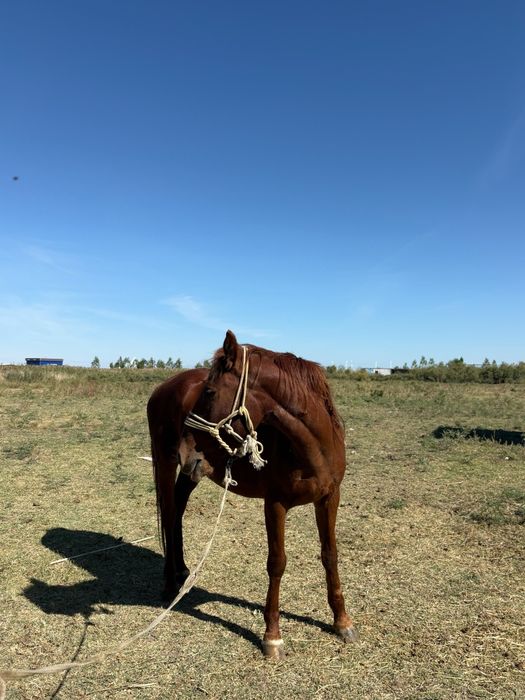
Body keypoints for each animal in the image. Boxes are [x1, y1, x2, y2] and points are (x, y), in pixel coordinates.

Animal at [147, 331, 357, 658]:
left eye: (209, 392)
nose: (186, 449)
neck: (313, 449)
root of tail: (161, 389)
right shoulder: (275, 504)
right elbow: (277, 563)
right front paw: (272, 636)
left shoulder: (329, 498)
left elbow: (330, 555)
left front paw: (341, 621)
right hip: (169, 464)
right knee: (169, 514)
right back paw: (169, 582)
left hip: (192, 472)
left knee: (178, 508)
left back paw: (181, 571)